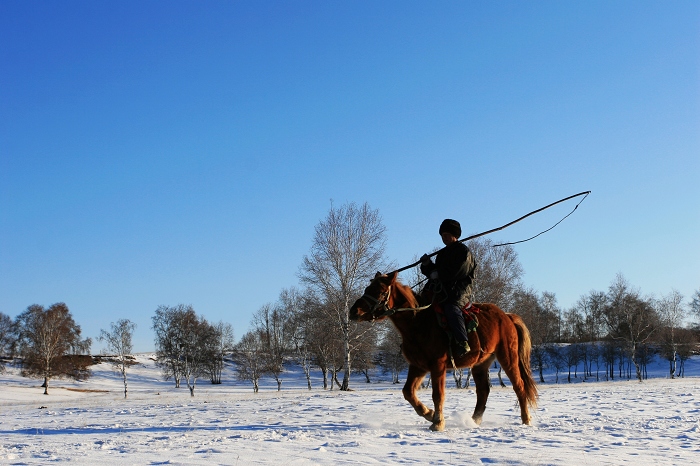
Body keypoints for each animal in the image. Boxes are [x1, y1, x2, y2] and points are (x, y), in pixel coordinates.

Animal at [348, 272, 536, 432]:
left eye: (380, 291)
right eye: (367, 289)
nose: (353, 311)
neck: (418, 322)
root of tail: (507, 316)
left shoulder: (437, 366)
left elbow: (438, 395)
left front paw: (438, 423)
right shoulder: (418, 366)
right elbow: (408, 392)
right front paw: (429, 414)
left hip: (508, 358)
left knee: (519, 386)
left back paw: (526, 419)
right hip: (480, 364)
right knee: (483, 391)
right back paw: (473, 421)